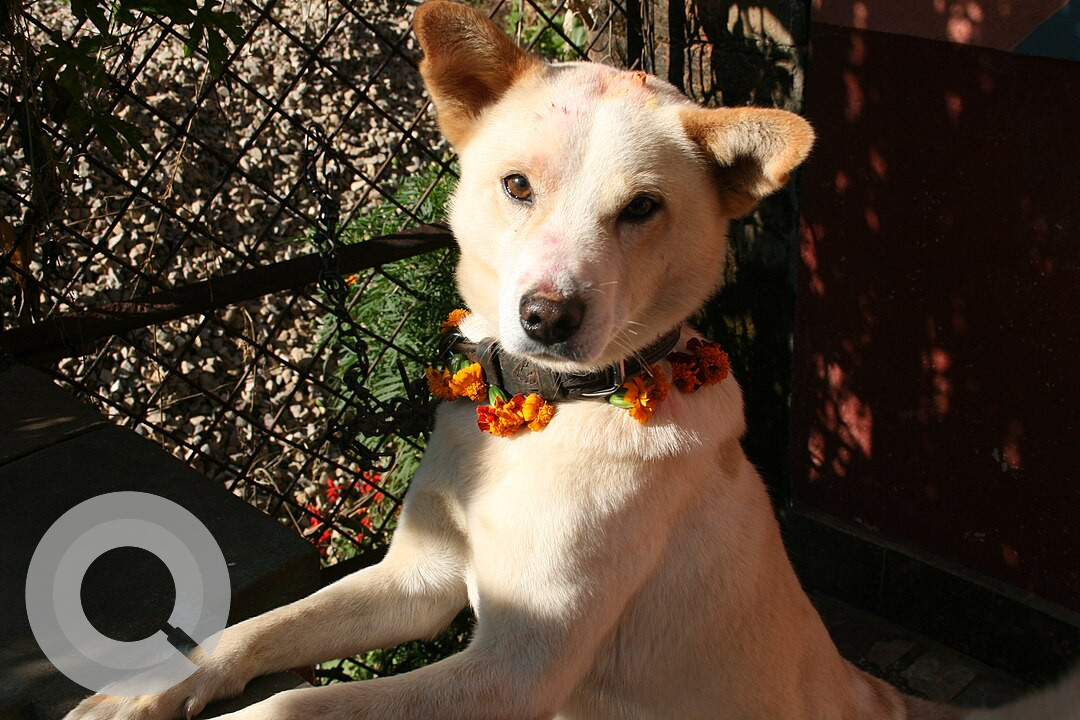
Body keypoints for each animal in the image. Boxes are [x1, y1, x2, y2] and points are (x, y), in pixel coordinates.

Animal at [67, 2, 1080, 716]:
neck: (548, 417)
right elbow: (259, 630)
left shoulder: (515, 668)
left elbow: (294, 709)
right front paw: (148, 687)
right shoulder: (418, 585)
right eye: (516, 185)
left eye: (642, 209)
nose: (547, 317)